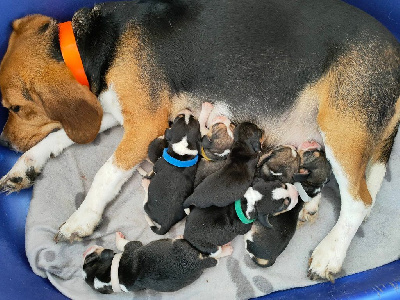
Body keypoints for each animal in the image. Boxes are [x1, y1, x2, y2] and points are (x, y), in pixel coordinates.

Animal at [81, 232, 217, 292]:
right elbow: (123, 243)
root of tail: (198, 264)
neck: (113, 276)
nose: (84, 253)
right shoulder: (132, 246)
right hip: (182, 246)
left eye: (88, 261)